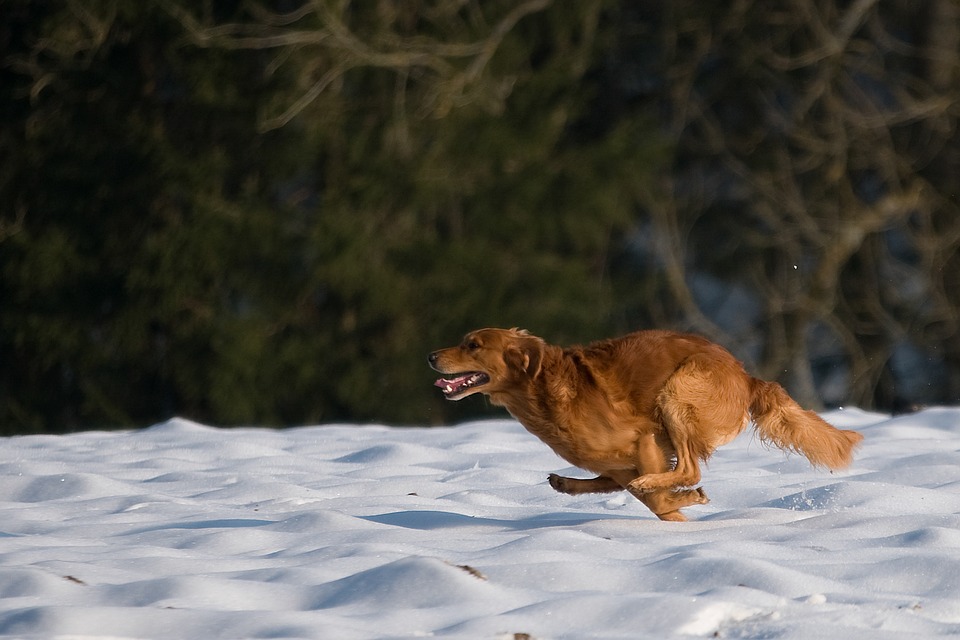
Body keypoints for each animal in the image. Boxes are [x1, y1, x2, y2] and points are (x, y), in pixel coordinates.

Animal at [428, 328, 864, 524]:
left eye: (472, 345)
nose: (431, 355)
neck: (542, 389)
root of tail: (746, 376)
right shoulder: (621, 461)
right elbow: (641, 494)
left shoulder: (644, 441)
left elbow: (657, 495)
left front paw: (683, 507)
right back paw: (568, 483)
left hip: (677, 393)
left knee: (688, 468)